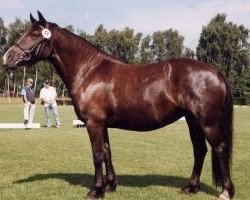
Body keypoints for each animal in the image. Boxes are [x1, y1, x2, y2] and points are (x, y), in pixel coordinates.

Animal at [2, 11, 234, 199]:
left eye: (34, 35)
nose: (7, 57)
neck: (89, 70)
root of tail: (216, 72)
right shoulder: (102, 124)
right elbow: (107, 152)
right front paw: (110, 185)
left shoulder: (93, 123)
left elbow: (97, 155)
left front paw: (96, 190)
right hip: (193, 121)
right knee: (200, 151)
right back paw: (190, 188)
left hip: (207, 122)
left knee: (220, 148)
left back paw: (226, 191)